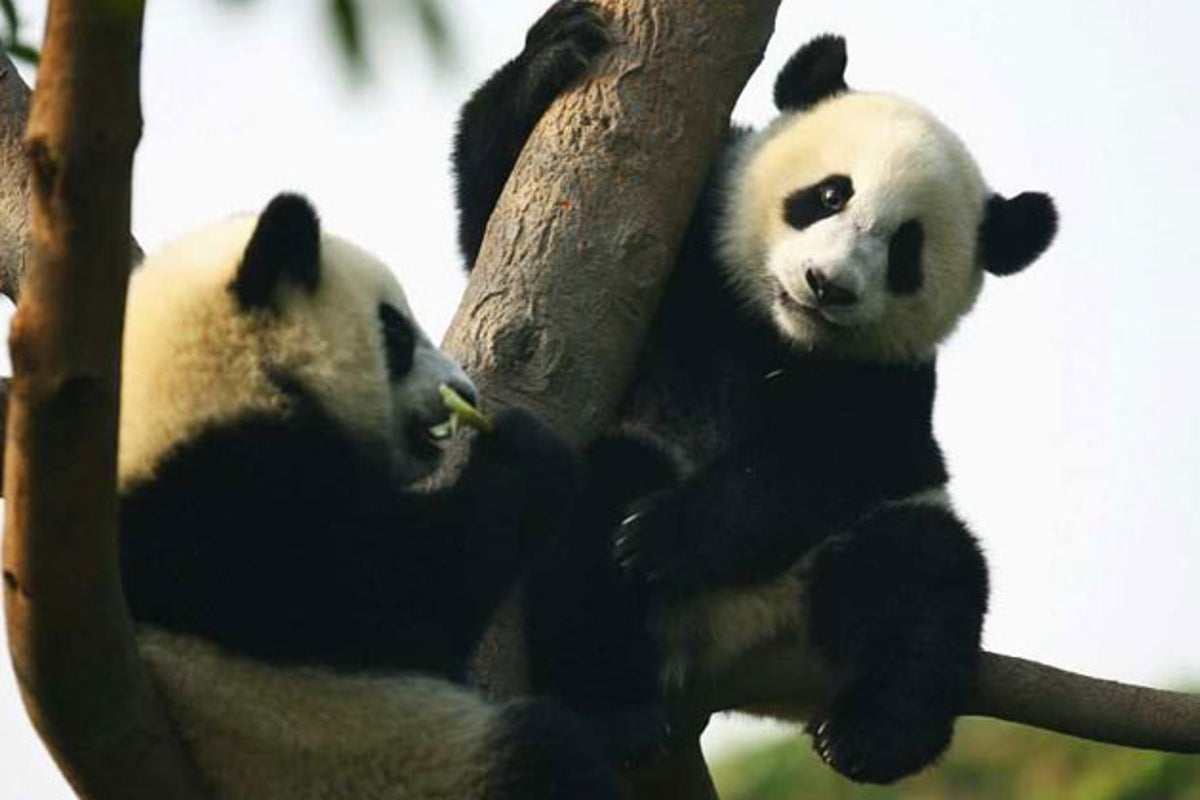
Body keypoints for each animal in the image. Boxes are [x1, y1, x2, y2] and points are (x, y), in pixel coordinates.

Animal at [117, 192, 624, 800]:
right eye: (395, 334)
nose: (466, 392)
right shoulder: (228, 497)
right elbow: (406, 592)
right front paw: (527, 450)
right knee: (548, 757)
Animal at [453, 6, 1057, 786]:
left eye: (905, 249)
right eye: (829, 195)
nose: (827, 285)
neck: (772, 334)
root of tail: (727, 650)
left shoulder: (889, 385)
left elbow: (840, 463)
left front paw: (672, 534)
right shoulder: (683, 250)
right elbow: (495, 220)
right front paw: (555, 49)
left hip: (829, 573)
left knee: (924, 573)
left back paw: (870, 735)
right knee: (598, 507)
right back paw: (618, 710)